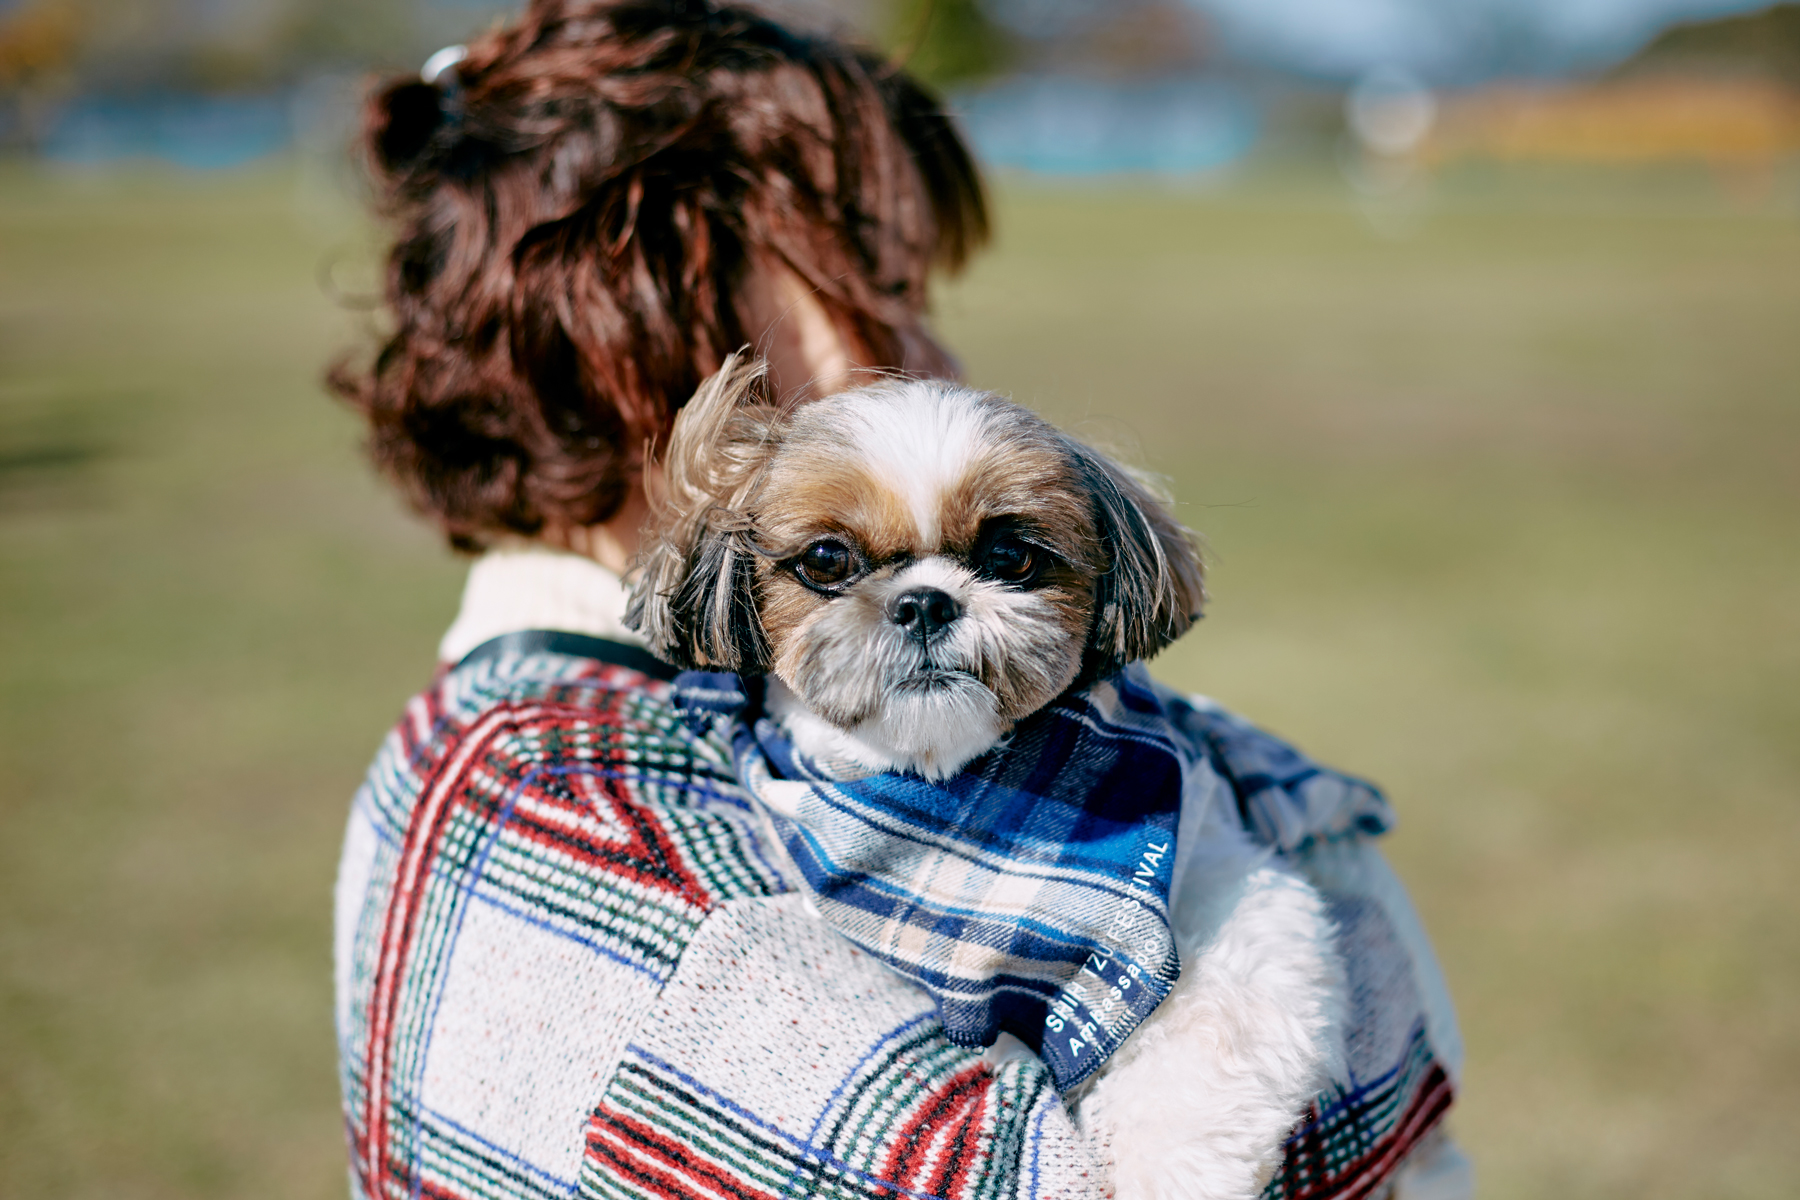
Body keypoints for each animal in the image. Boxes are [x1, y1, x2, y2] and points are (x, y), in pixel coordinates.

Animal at [626, 359, 1346, 1200]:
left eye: (1012, 557)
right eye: (827, 561)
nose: (924, 601)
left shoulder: (1225, 874)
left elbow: (1225, 1014)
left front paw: (1180, 1166)